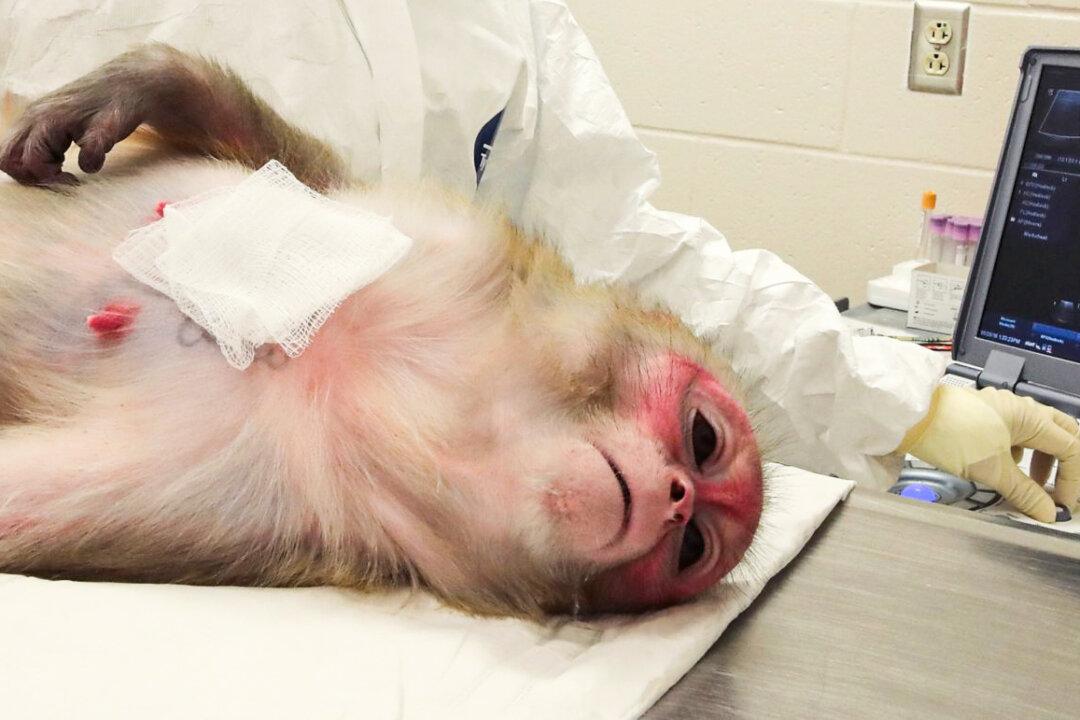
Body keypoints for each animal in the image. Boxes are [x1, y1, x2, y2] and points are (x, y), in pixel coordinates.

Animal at [0, 44, 764, 617]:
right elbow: (287, 167)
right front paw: (144, 82)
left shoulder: (276, 510)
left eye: (692, 548)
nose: (677, 498)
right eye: (704, 439)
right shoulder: (443, 240)